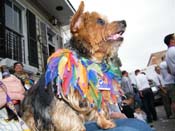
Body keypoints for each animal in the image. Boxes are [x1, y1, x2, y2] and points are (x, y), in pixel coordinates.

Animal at [21, 1, 126, 131]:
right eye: (100, 21)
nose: (124, 22)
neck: (87, 59)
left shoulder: (93, 91)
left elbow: (99, 107)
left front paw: (105, 122)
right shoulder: (62, 99)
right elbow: (69, 117)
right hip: (32, 114)